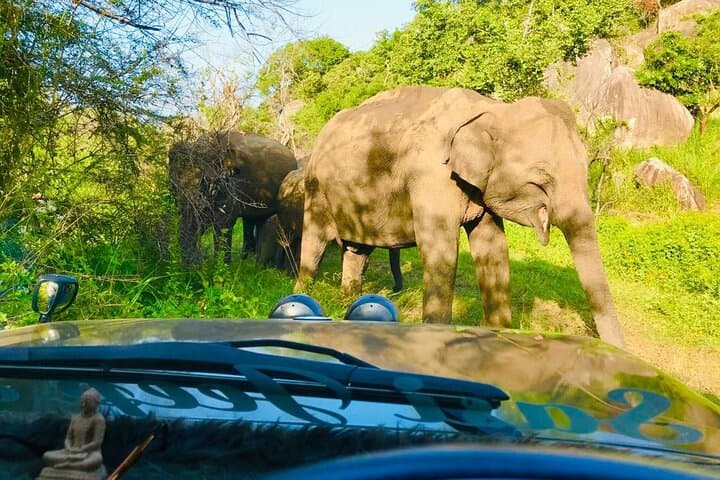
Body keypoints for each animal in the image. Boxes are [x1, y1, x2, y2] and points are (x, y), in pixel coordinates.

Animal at [168, 130, 297, 265]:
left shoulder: (231, 184)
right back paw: (246, 260)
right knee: (252, 220)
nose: (197, 264)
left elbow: (223, 223)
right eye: (172, 185)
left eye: (204, 182)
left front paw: (221, 266)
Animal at [296, 86, 625, 348]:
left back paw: (346, 300)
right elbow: (440, 248)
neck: (492, 109)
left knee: (357, 250)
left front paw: (500, 335)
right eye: (542, 177)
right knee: (315, 241)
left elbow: (493, 247)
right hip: (316, 188)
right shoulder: (431, 174)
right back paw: (302, 295)